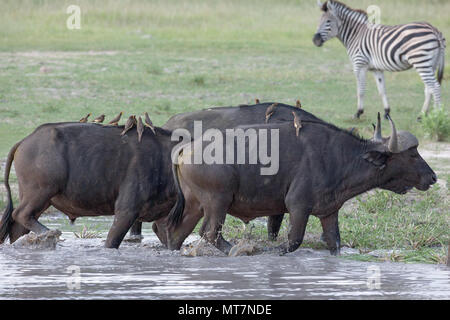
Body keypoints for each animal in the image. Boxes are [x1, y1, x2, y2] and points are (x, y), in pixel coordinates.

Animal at [166, 115, 436, 255]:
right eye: (413, 154)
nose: (432, 177)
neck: (339, 158)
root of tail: (187, 147)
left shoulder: (329, 212)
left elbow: (334, 244)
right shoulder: (298, 207)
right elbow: (293, 242)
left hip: (195, 206)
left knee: (176, 234)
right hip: (217, 201)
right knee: (210, 233)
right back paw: (237, 250)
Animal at [314, 0, 444, 120]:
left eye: (328, 21)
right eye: (319, 20)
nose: (315, 40)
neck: (356, 34)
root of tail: (434, 30)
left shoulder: (359, 64)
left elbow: (360, 90)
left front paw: (358, 112)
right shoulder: (376, 69)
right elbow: (382, 90)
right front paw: (386, 112)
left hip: (421, 61)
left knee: (435, 87)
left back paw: (437, 116)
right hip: (431, 64)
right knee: (428, 88)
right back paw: (422, 115)